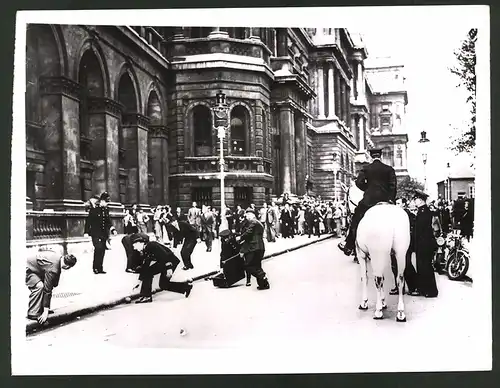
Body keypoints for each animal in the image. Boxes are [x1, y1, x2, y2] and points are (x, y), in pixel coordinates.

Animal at [344, 185, 410, 322]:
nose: (346, 214)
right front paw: (384, 301)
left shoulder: (361, 254)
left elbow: (365, 277)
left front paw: (365, 302)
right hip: (400, 253)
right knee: (400, 278)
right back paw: (400, 313)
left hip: (377, 254)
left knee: (378, 279)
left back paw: (378, 311)